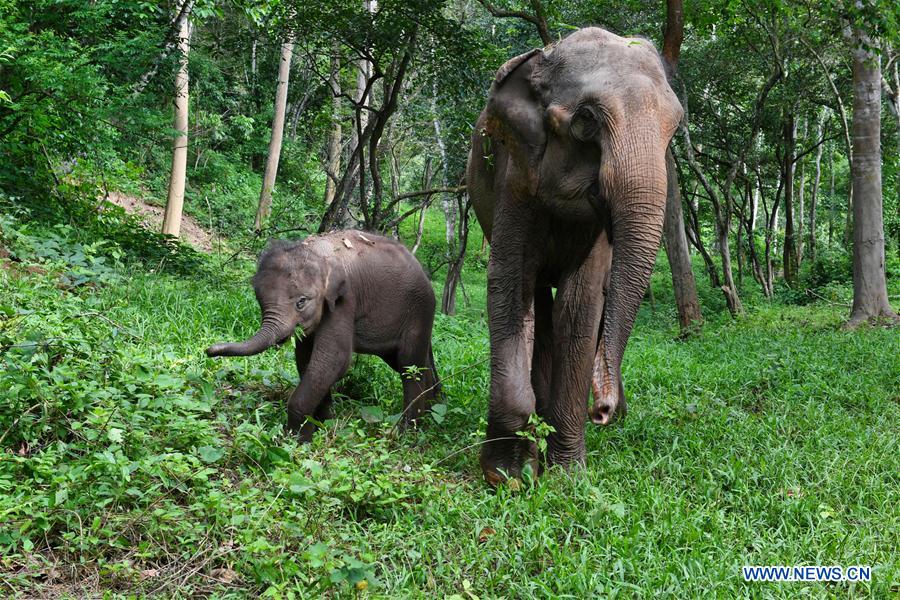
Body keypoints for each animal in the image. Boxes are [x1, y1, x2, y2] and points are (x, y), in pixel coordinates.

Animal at [207, 232, 440, 438]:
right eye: (260, 301)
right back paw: (433, 412)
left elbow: (333, 360)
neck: (318, 252)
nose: (209, 350)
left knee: (409, 364)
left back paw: (407, 432)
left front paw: (297, 440)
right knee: (410, 363)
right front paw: (323, 425)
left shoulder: (345, 301)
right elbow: (305, 359)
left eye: (301, 302)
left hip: (419, 310)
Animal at [472, 28, 684, 486]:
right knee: (537, 299)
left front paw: (567, 474)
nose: (600, 410)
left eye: (675, 128)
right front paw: (508, 473)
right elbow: (510, 288)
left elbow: (580, 304)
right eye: (586, 120)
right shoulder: (514, 175)